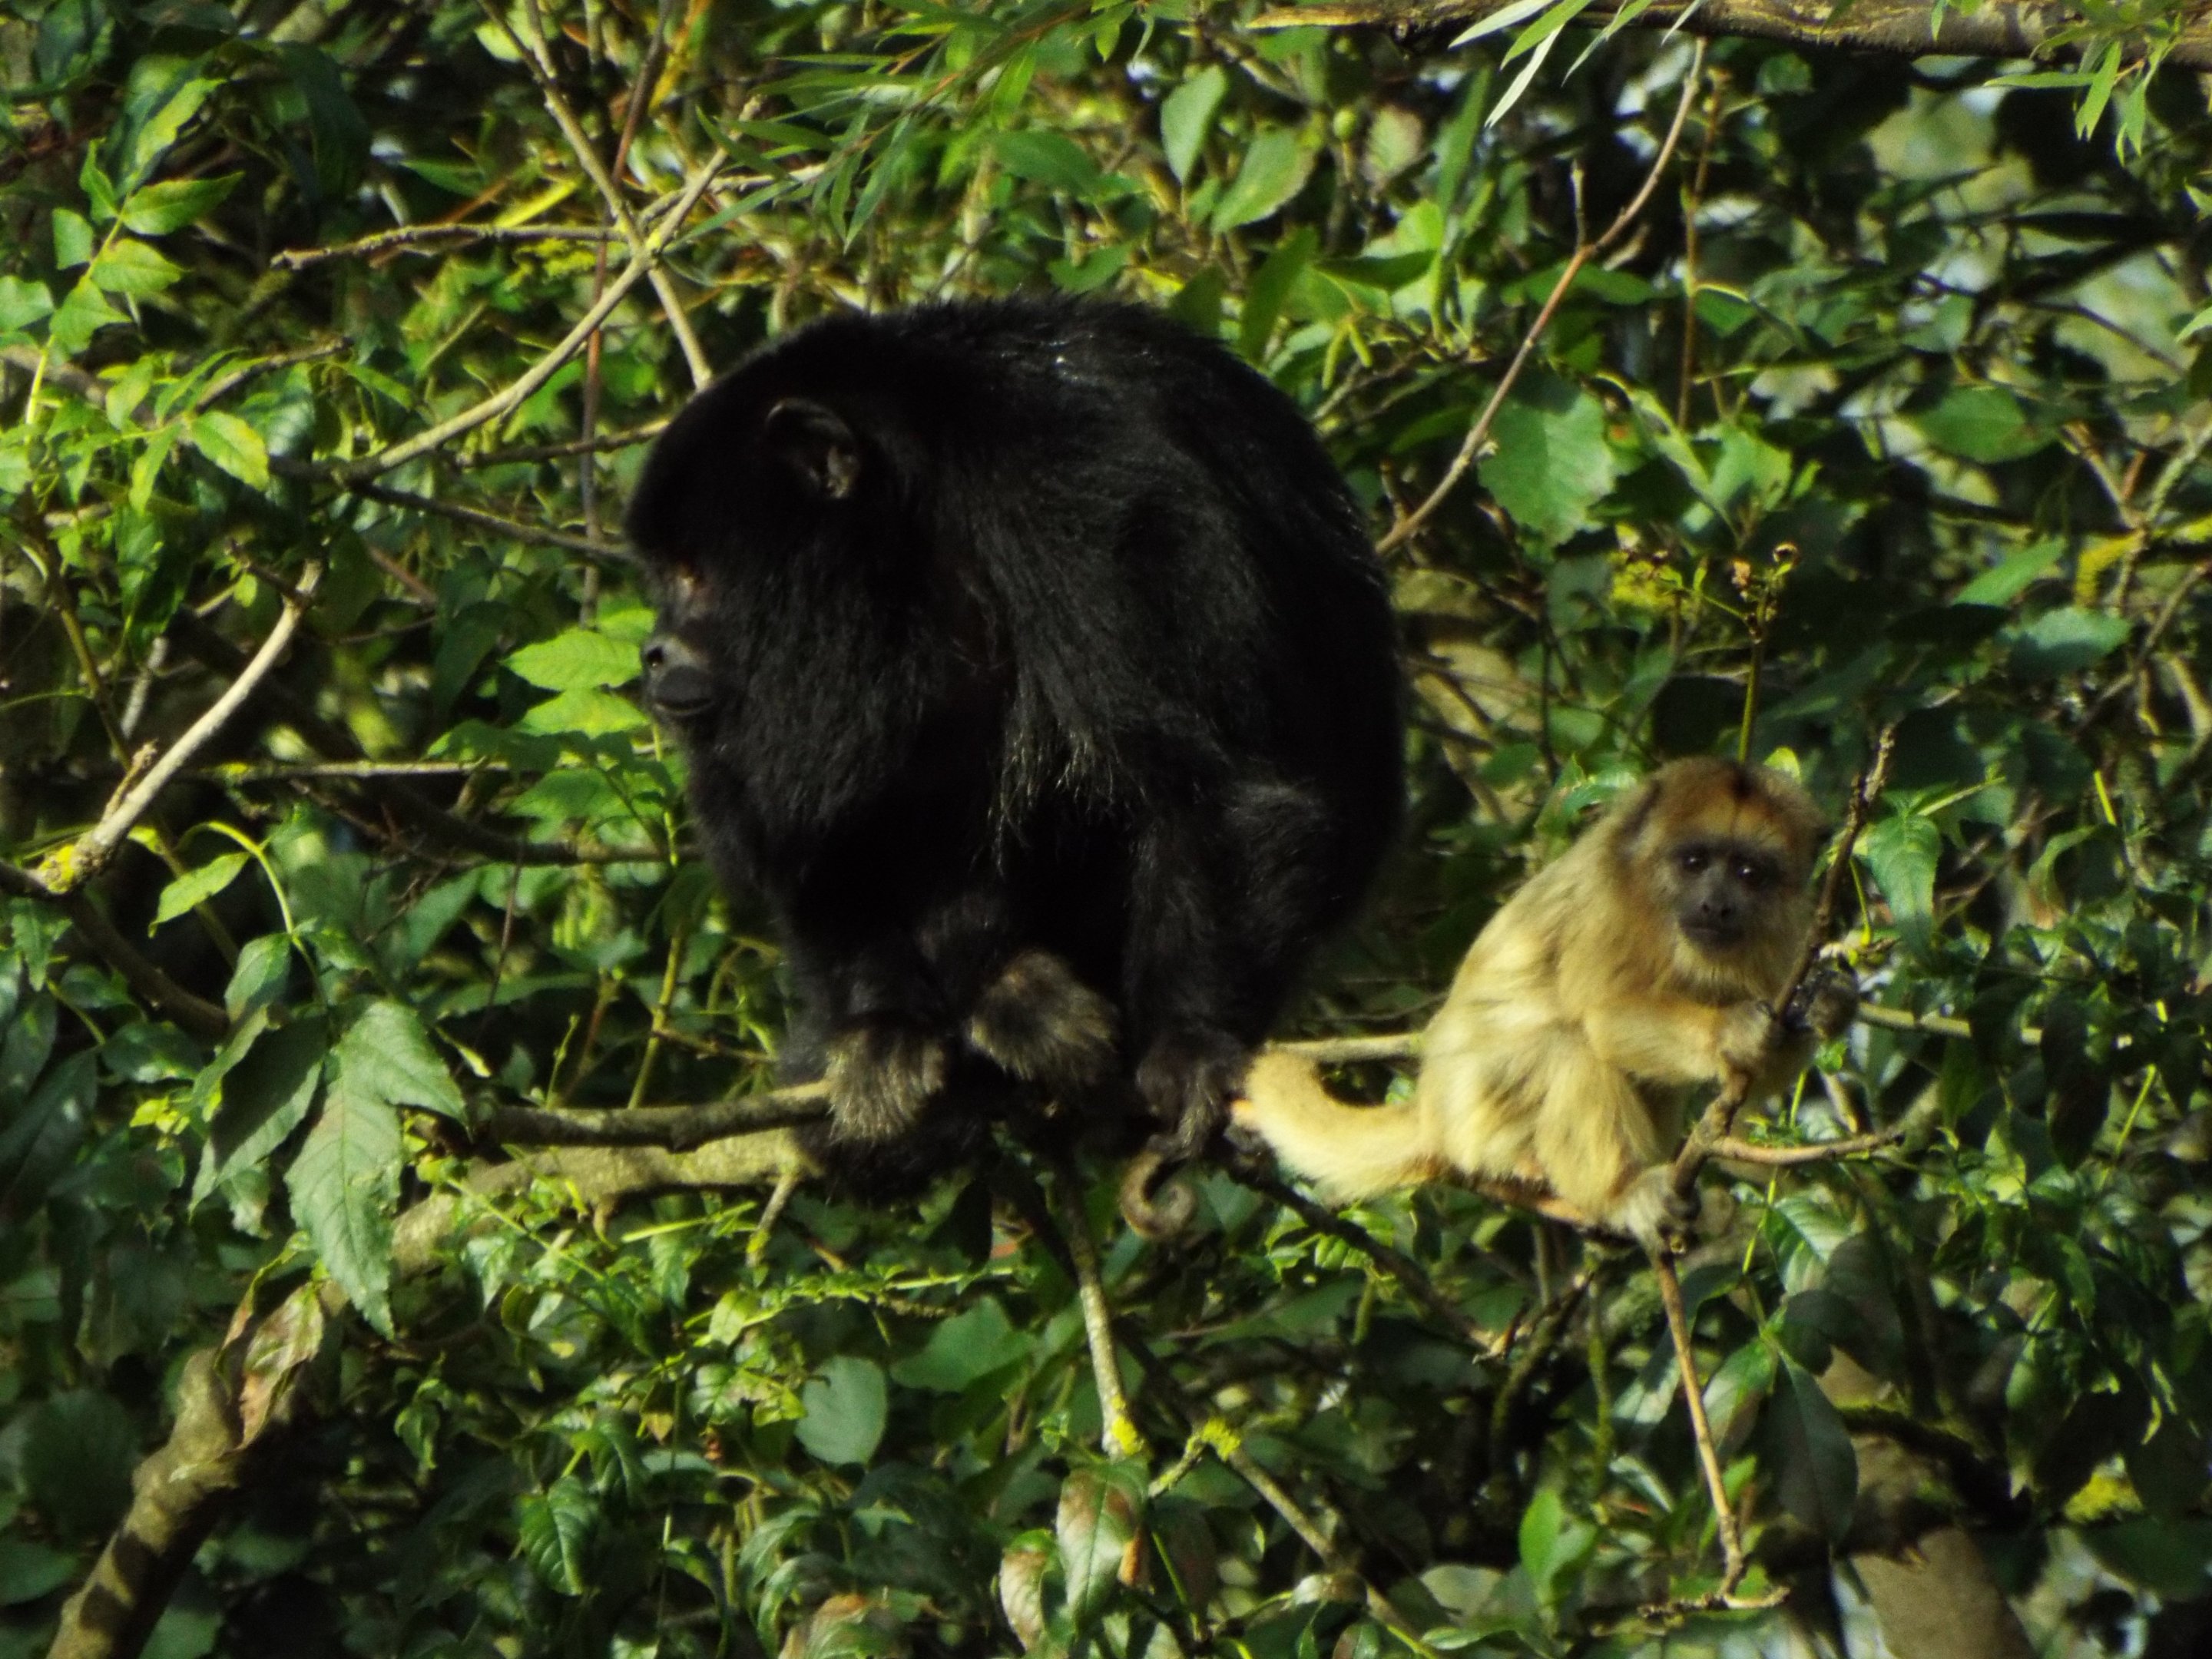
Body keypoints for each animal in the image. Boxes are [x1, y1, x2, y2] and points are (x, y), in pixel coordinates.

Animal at [626, 297, 1403, 1209]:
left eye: (694, 574)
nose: (653, 652)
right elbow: (823, 831)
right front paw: (881, 1026)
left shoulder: (1088, 498)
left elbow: (1224, 786)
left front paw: (1190, 1049)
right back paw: (997, 998)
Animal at [1232, 758, 1856, 1245]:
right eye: (1695, 862)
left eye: (1750, 873)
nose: (1716, 905)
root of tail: (1432, 1112)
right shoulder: (1610, 900)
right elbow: (1600, 1017)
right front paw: (1731, 1032)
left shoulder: (1785, 932)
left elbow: (1760, 1072)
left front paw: (1828, 1006)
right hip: (1478, 1118)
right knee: (1571, 1046)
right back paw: (1618, 1192)